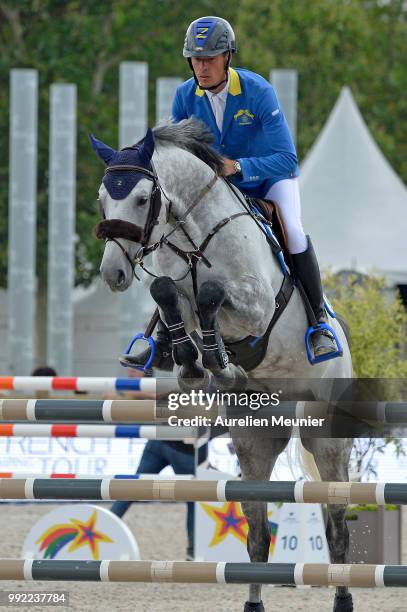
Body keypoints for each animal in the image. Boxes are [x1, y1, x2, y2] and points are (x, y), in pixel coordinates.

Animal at [90, 118, 354, 612]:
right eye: (102, 197)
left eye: (142, 198)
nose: (113, 274)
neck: (194, 236)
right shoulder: (177, 293)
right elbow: (168, 294)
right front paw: (194, 362)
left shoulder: (255, 306)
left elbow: (212, 293)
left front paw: (216, 359)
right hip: (254, 441)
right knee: (257, 534)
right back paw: (253, 603)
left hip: (326, 438)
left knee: (337, 523)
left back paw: (343, 599)